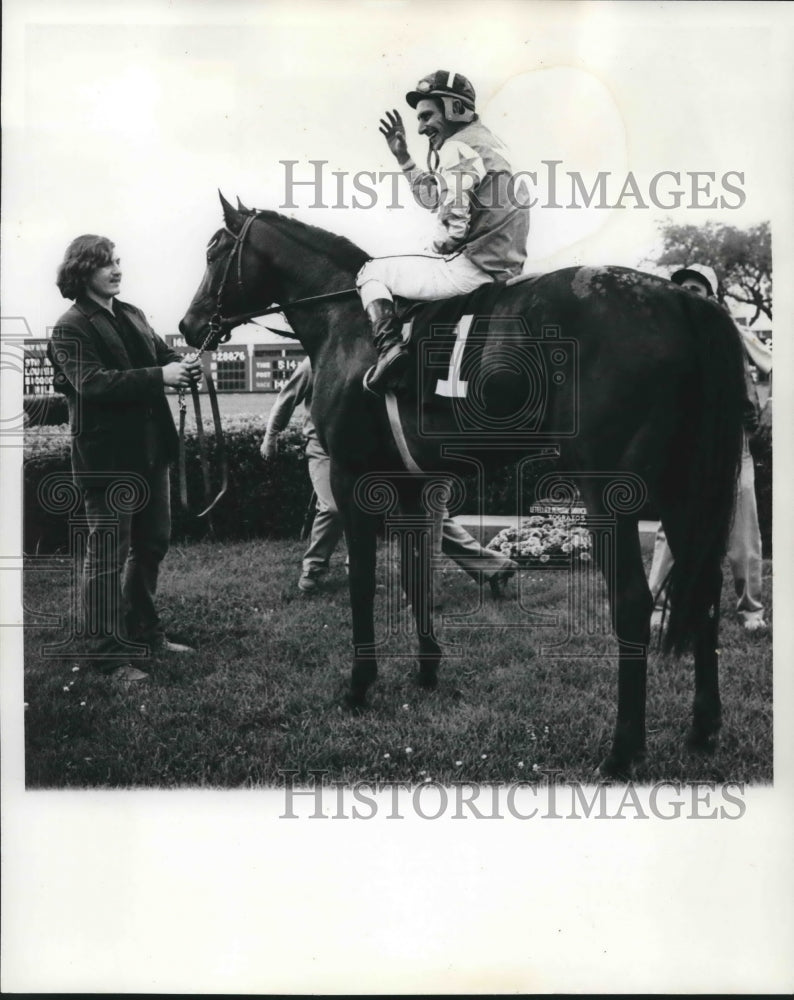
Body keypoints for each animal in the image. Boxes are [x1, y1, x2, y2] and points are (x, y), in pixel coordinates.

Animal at [179, 191, 744, 776]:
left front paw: (359, 686)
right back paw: (702, 728)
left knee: (633, 599)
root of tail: (681, 301)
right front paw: (427, 670)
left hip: (611, 492)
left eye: (214, 251)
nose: (188, 325)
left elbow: (364, 582)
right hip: (685, 488)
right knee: (705, 588)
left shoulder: (352, 476)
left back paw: (622, 751)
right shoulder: (413, 486)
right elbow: (417, 575)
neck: (347, 320)